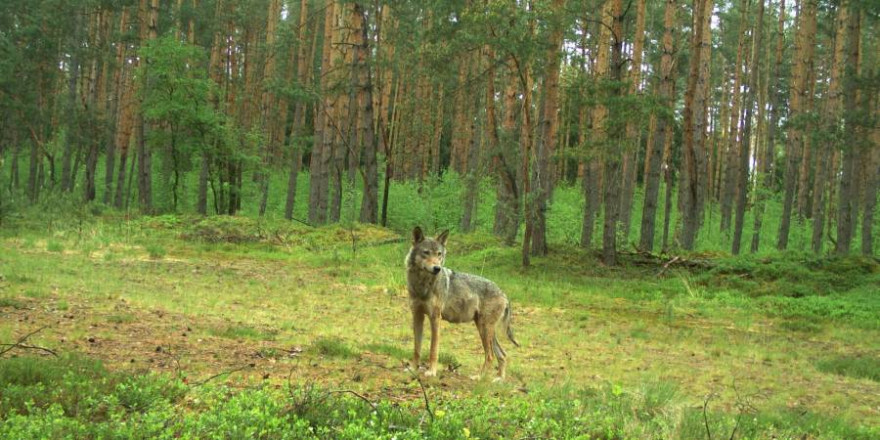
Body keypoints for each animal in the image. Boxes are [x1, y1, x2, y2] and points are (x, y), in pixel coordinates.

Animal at [408, 225, 524, 380]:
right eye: (426, 253)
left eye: (439, 254)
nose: (437, 268)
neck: (422, 285)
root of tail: (504, 294)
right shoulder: (417, 315)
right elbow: (417, 347)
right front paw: (413, 368)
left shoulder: (435, 318)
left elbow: (433, 349)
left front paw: (431, 372)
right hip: (485, 329)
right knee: (503, 354)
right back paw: (498, 379)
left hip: (484, 329)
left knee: (490, 356)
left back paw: (479, 378)